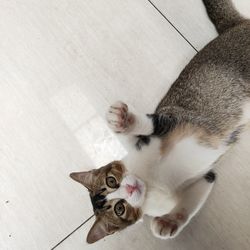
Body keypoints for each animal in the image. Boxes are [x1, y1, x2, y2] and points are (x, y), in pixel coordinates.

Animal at [70, 0, 250, 244]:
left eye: (111, 181)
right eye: (120, 208)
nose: (130, 188)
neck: (151, 181)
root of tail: (235, 26)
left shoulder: (169, 121)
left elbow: (149, 124)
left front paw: (123, 120)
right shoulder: (204, 178)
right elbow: (188, 205)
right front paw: (168, 223)